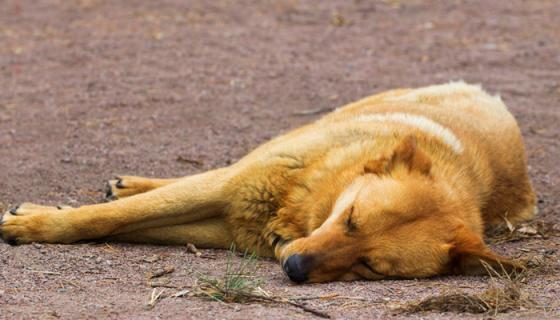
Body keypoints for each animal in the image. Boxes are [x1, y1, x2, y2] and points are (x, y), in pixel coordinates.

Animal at [0, 82, 536, 282]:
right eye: (351, 218)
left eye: (370, 267)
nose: (295, 269)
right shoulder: (230, 189)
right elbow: (106, 218)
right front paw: (33, 224)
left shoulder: (230, 227)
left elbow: (123, 225)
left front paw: (39, 218)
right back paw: (125, 184)